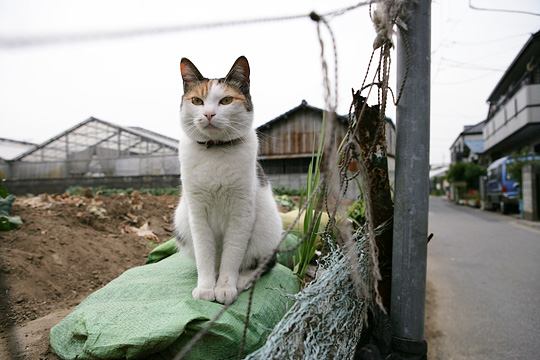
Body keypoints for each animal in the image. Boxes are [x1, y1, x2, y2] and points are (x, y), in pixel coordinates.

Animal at [175, 55, 282, 304]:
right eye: (197, 101)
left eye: (226, 100)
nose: (209, 114)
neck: (215, 152)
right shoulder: (197, 213)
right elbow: (205, 254)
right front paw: (206, 287)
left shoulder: (241, 213)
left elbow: (232, 255)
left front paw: (225, 288)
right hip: (182, 222)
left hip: (268, 230)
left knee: (263, 264)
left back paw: (243, 280)